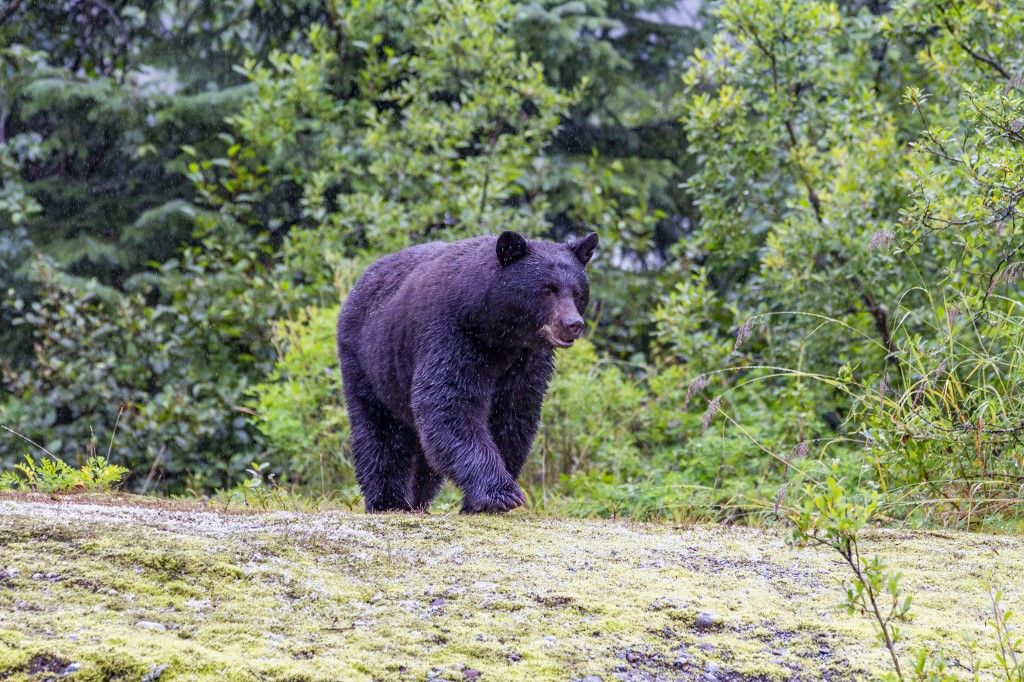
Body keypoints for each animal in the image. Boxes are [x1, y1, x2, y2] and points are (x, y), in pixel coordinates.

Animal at [339, 228, 598, 509]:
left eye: (577, 292)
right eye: (548, 290)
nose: (573, 324)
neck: (497, 332)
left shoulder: (526, 362)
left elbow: (513, 415)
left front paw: (479, 499)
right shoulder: (451, 335)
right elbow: (451, 404)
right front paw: (500, 493)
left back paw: (416, 498)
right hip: (367, 360)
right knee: (379, 430)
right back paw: (388, 500)